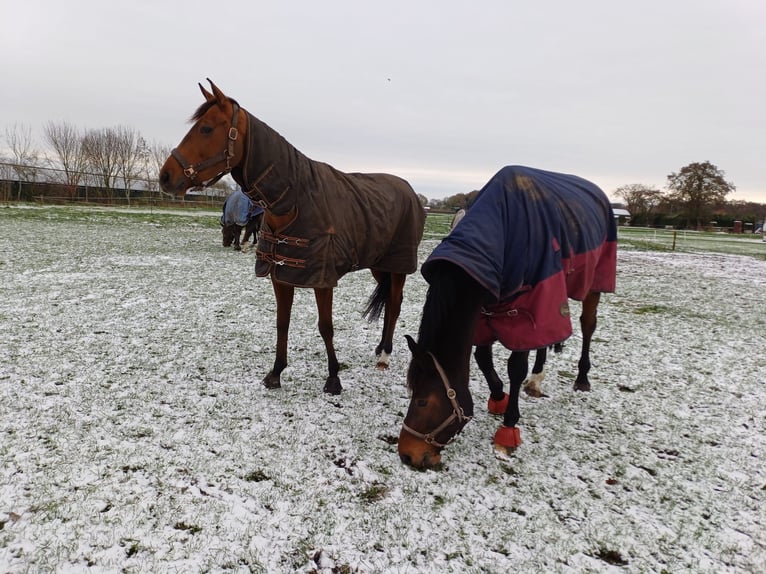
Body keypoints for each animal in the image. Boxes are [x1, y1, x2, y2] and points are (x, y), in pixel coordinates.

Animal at [159, 80, 426, 394]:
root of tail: (409, 190)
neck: (294, 200)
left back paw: (384, 354)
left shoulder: (323, 280)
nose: (165, 177)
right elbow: (282, 323)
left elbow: (326, 326)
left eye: (207, 129)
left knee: (395, 305)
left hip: (399, 266)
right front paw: (276, 372)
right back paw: (380, 348)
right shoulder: (281, 276)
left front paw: (333, 378)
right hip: (378, 264)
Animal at [398, 165, 617, 468]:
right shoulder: (485, 308)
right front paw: (498, 398)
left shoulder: (527, 306)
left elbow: (515, 367)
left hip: (592, 283)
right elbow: (482, 357)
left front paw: (509, 427)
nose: (407, 454)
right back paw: (536, 380)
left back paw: (582, 378)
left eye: (422, 402)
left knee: (587, 326)